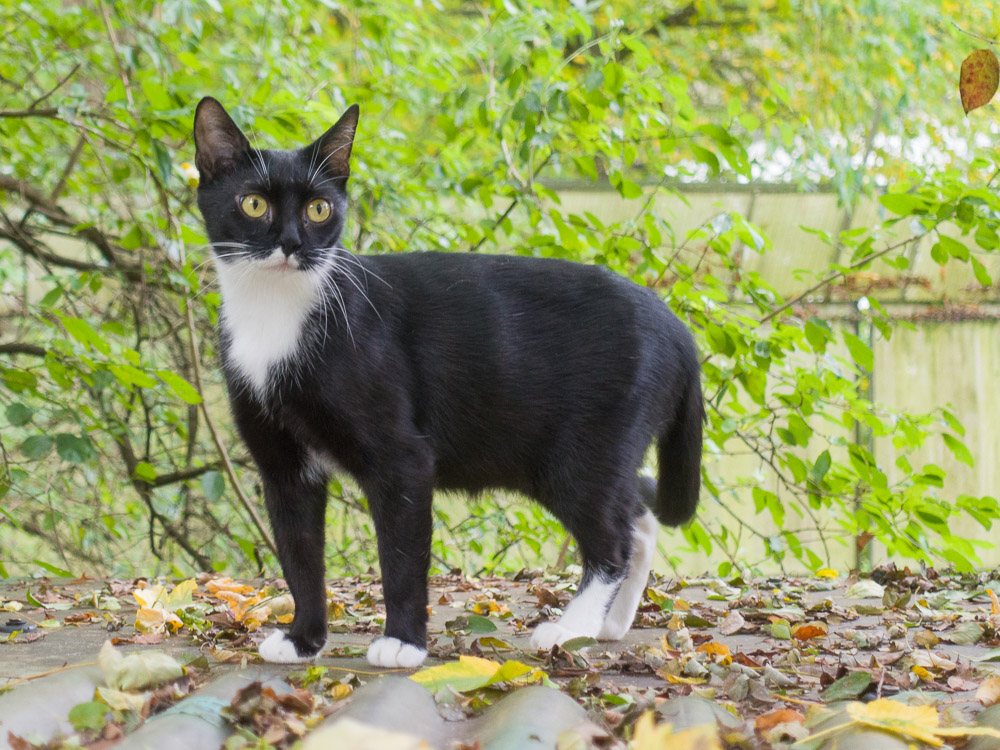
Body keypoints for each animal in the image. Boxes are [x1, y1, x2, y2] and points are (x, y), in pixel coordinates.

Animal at [189, 97, 704, 668]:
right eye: (253, 204)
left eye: (319, 209)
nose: (290, 243)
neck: (277, 314)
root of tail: (676, 325)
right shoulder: (283, 468)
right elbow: (299, 556)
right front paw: (303, 639)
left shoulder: (403, 458)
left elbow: (401, 555)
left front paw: (403, 643)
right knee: (638, 515)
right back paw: (610, 624)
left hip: (584, 452)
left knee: (614, 537)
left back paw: (571, 629)